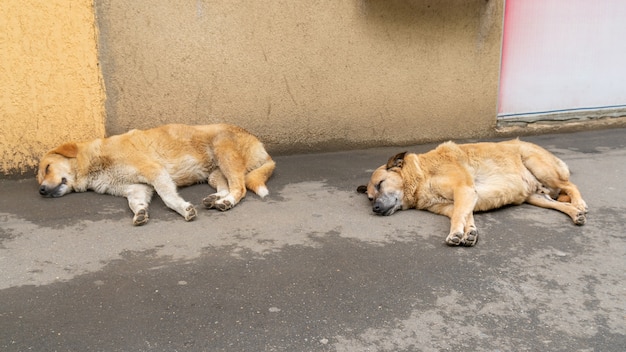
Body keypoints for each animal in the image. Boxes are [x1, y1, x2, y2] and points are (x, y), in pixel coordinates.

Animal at [38, 123, 272, 226]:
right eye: (40, 178)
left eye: (48, 167)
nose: (41, 190)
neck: (94, 161)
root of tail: (263, 147)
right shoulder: (137, 188)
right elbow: (135, 203)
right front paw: (140, 212)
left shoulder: (154, 171)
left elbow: (168, 198)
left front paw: (184, 210)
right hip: (215, 173)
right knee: (228, 185)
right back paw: (216, 199)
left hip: (224, 153)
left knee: (239, 187)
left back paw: (227, 202)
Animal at [356, 139, 584, 246]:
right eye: (370, 198)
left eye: (380, 184)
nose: (375, 208)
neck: (422, 175)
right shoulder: (456, 202)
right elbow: (464, 216)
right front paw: (469, 232)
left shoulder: (463, 190)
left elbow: (459, 215)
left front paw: (456, 233)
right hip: (535, 196)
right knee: (559, 203)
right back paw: (575, 213)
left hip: (540, 167)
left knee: (570, 185)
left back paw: (580, 203)